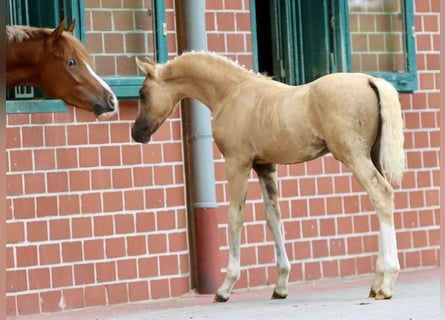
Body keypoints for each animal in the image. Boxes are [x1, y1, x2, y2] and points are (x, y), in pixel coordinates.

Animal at [131, 52, 402, 302]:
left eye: (142, 93)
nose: (136, 133)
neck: (231, 92)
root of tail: (370, 80)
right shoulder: (265, 166)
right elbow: (273, 217)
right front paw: (280, 286)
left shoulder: (237, 163)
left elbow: (234, 217)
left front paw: (225, 288)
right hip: (371, 155)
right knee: (380, 200)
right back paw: (377, 283)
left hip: (352, 155)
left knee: (381, 194)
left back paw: (387, 283)